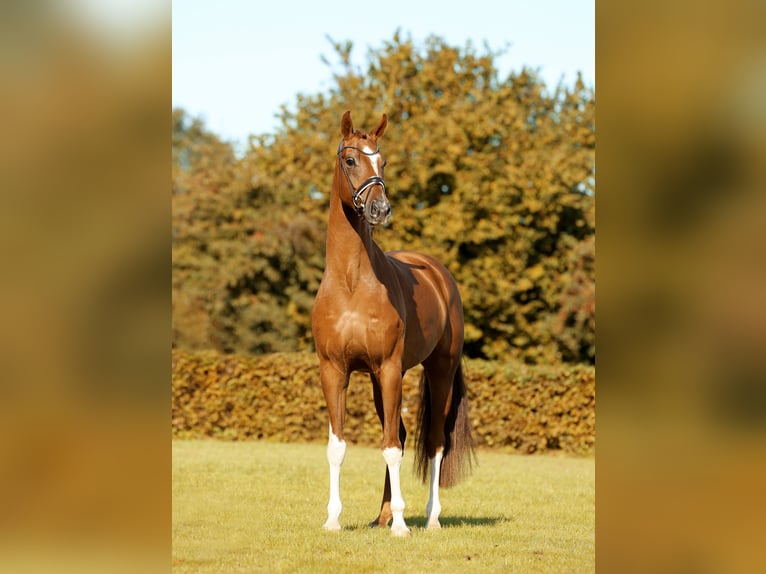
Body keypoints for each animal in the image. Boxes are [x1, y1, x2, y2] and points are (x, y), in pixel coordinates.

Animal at [312, 112, 474, 540]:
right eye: (351, 160)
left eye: (382, 162)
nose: (380, 209)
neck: (351, 282)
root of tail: (439, 274)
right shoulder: (335, 370)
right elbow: (339, 446)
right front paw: (333, 520)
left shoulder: (388, 367)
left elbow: (392, 448)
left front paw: (401, 525)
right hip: (380, 379)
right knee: (399, 433)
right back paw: (381, 515)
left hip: (438, 370)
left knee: (434, 442)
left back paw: (430, 518)